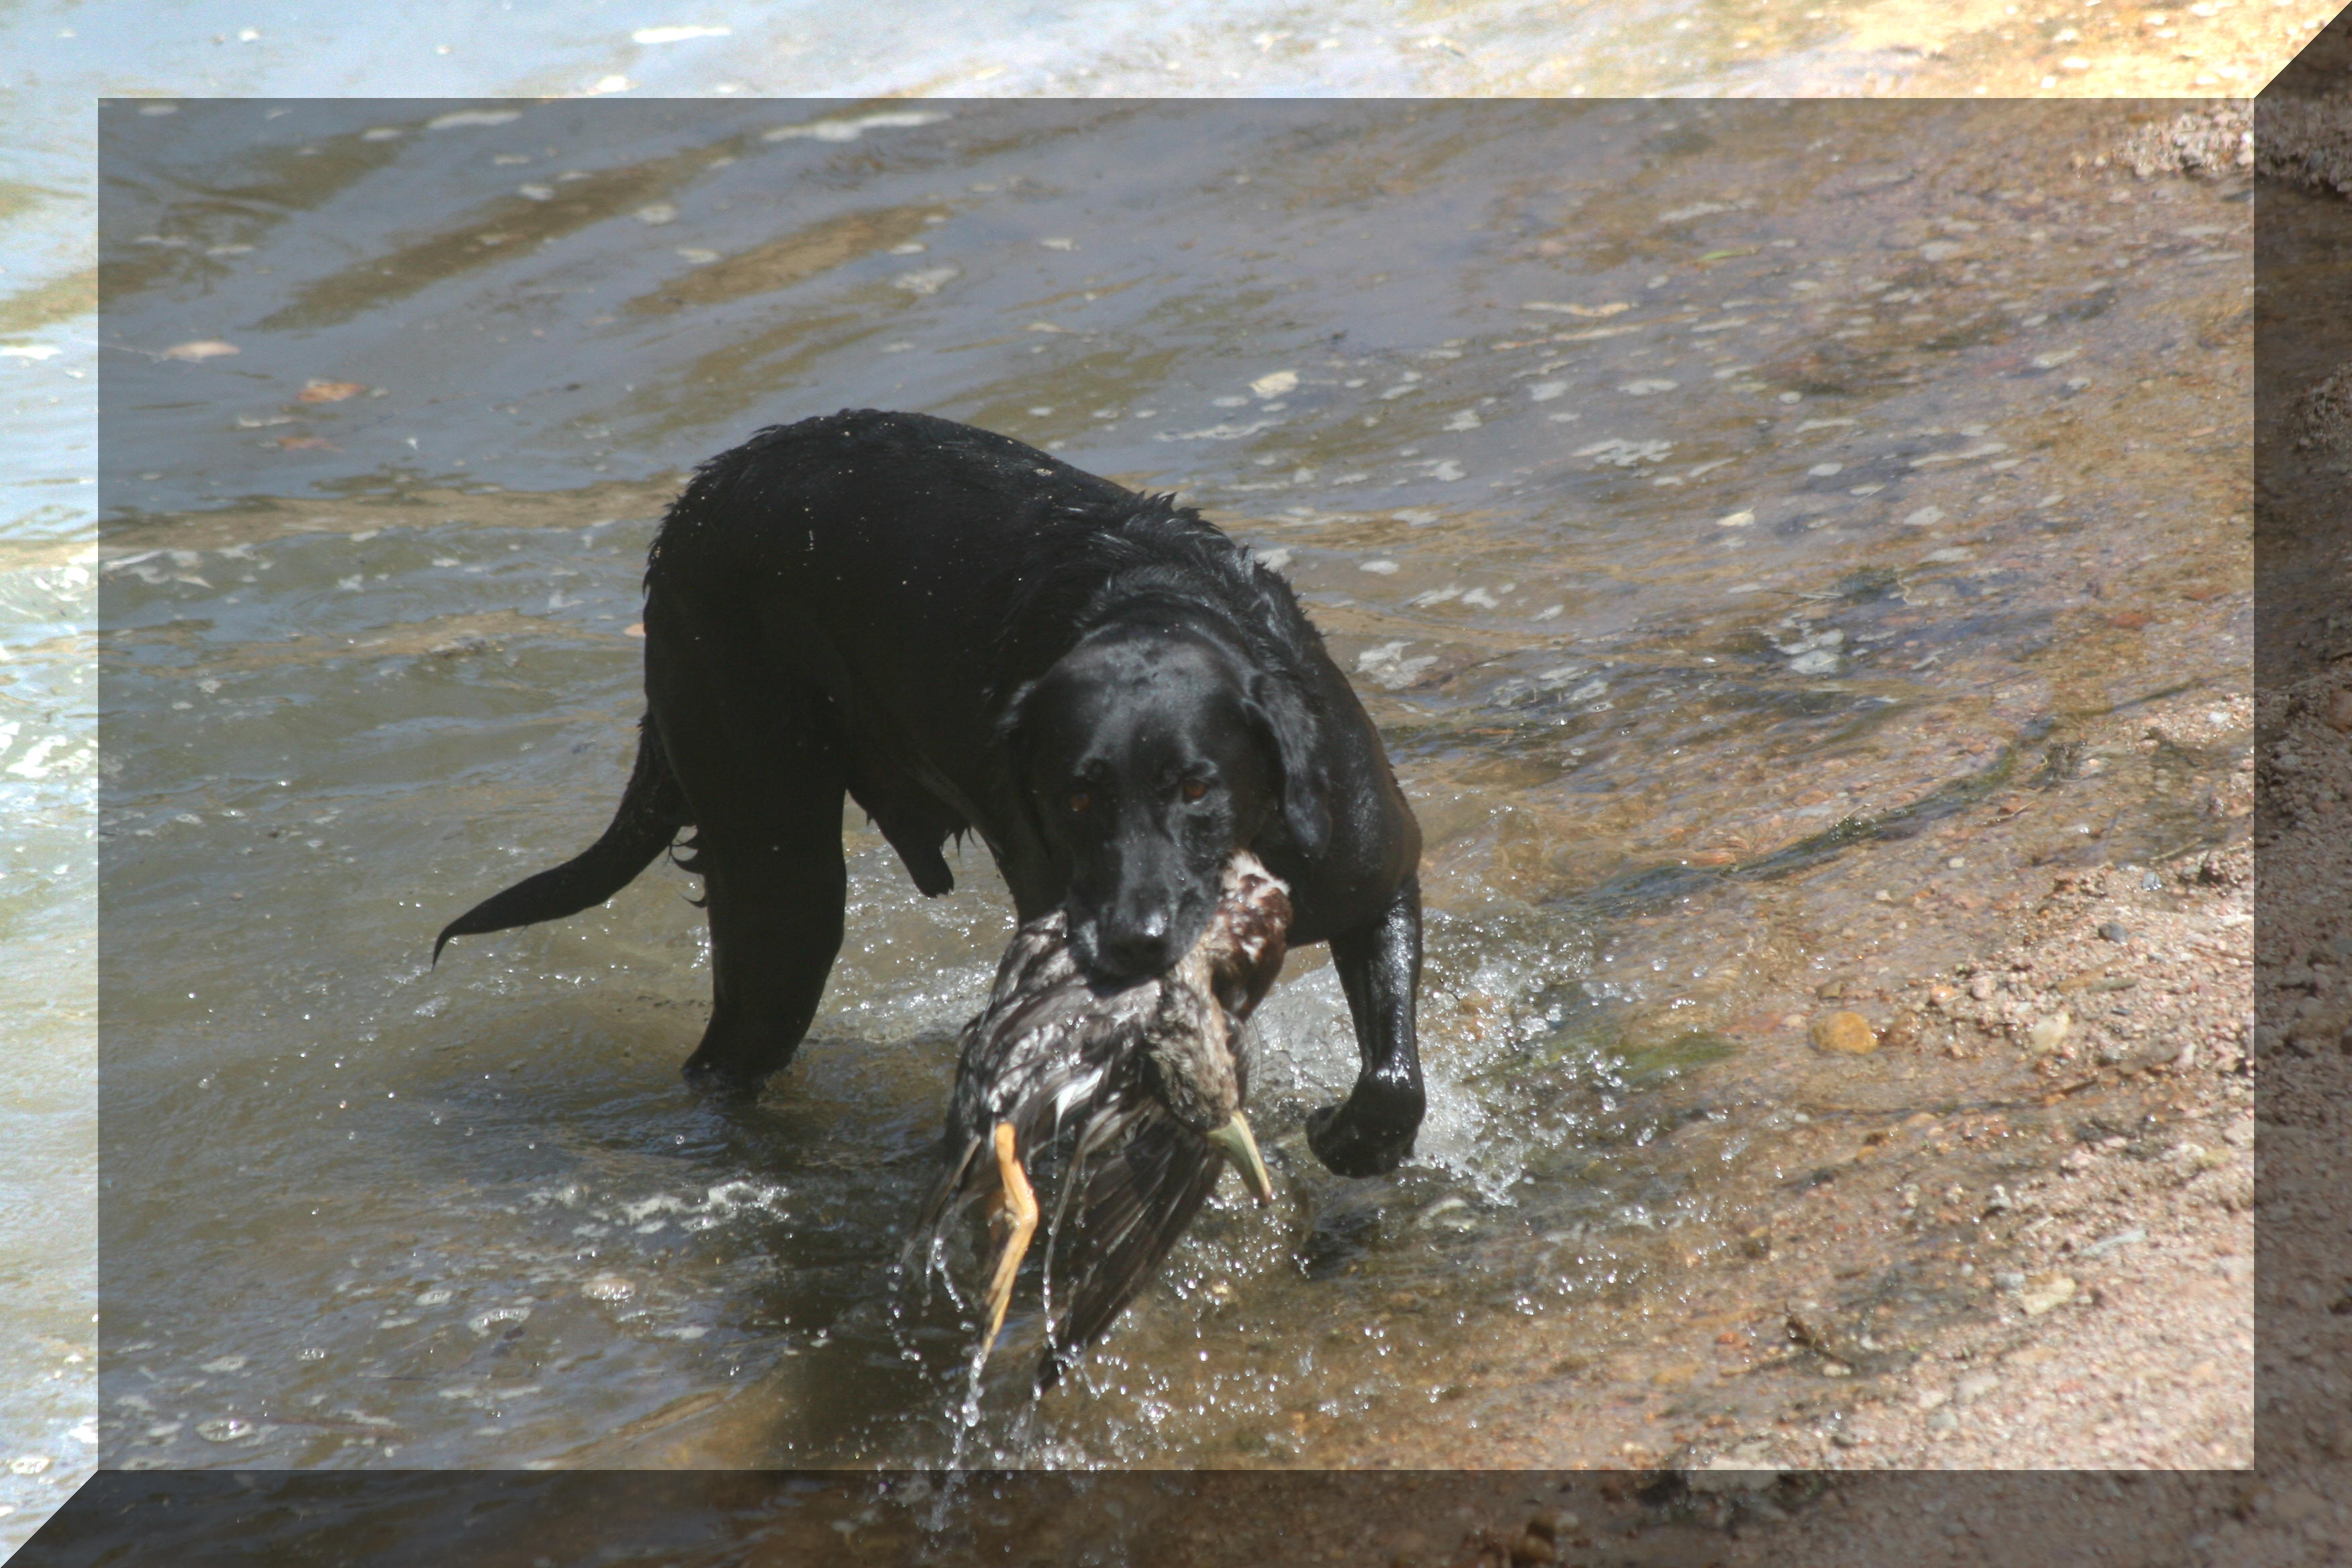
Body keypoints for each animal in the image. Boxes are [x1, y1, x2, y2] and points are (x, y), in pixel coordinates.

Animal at [442, 411, 1430, 1171]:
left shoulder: (1375, 873)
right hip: (781, 880)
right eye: (1075, 801)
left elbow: (1394, 1079)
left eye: (1196, 786)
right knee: (727, 1050)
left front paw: (1352, 1138)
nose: (1132, 941)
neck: (1160, 606)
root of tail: (690, 504)